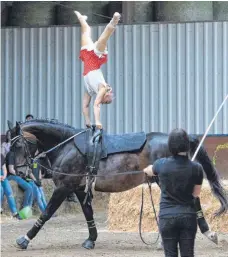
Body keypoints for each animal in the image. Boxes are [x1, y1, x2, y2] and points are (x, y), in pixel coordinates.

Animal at [8, 119, 226, 249]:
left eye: (18, 144)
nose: (20, 172)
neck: (67, 146)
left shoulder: (64, 187)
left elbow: (46, 213)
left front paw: (24, 239)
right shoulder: (79, 189)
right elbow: (88, 213)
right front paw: (91, 239)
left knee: (192, 202)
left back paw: (206, 233)